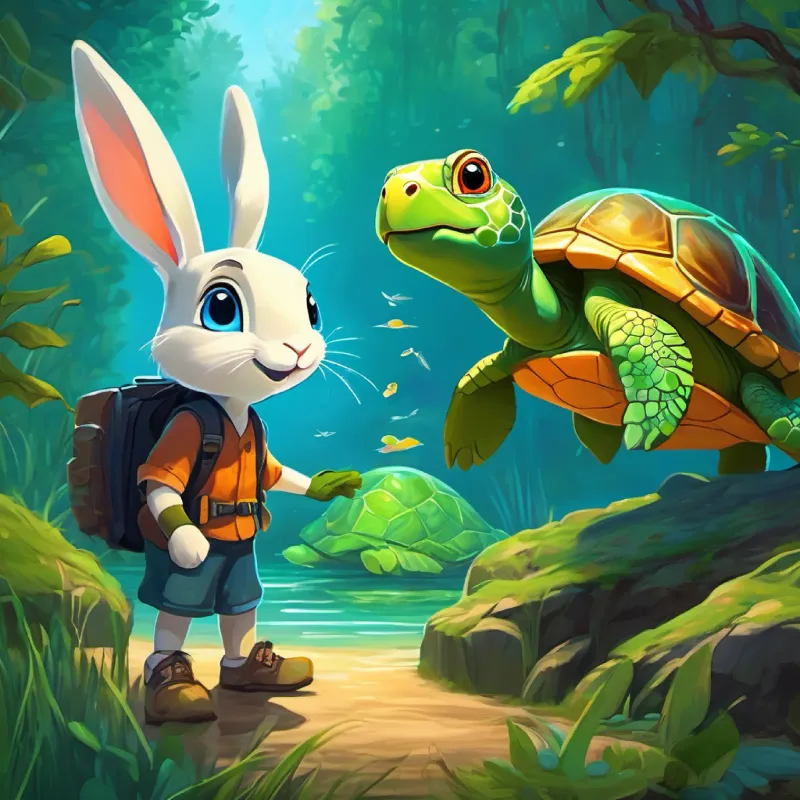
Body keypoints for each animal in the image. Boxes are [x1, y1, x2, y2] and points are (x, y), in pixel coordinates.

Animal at [72, 40, 362, 723]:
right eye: (221, 309)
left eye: (311, 306)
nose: (300, 347)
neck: (228, 407)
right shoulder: (181, 433)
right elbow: (162, 487)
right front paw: (189, 545)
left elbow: (277, 474)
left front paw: (332, 484)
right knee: (176, 612)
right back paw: (175, 686)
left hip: (243, 570)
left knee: (238, 605)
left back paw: (254, 670)